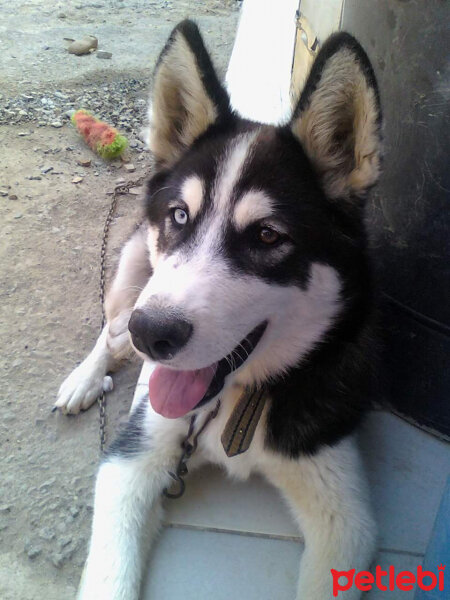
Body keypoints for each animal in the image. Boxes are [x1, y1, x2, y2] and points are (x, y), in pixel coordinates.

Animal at [54, 19, 382, 600]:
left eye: (267, 236)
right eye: (180, 215)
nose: (152, 334)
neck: (237, 400)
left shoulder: (344, 515)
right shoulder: (132, 456)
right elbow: (109, 573)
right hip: (132, 276)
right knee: (109, 331)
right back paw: (85, 378)